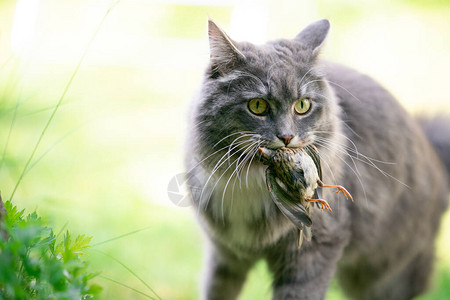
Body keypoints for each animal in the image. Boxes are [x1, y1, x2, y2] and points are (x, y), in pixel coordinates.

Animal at [184, 19, 450, 300]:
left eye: (302, 106)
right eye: (257, 106)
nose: (286, 137)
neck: (249, 180)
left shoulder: (315, 249)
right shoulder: (225, 253)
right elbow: (216, 289)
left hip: (386, 274)